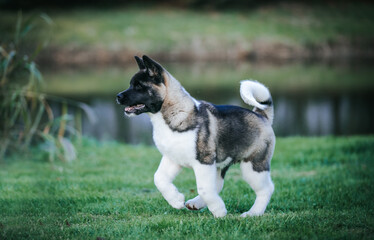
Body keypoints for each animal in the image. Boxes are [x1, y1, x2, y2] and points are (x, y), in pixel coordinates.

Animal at [116, 55, 274, 218]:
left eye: (139, 86)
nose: (118, 96)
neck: (172, 114)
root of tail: (261, 115)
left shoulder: (204, 161)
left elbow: (204, 188)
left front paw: (219, 211)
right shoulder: (172, 158)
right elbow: (159, 179)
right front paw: (176, 200)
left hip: (254, 165)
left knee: (266, 189)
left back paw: (253, 212)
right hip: (223, 163)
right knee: (218, 184)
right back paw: (196, 203)